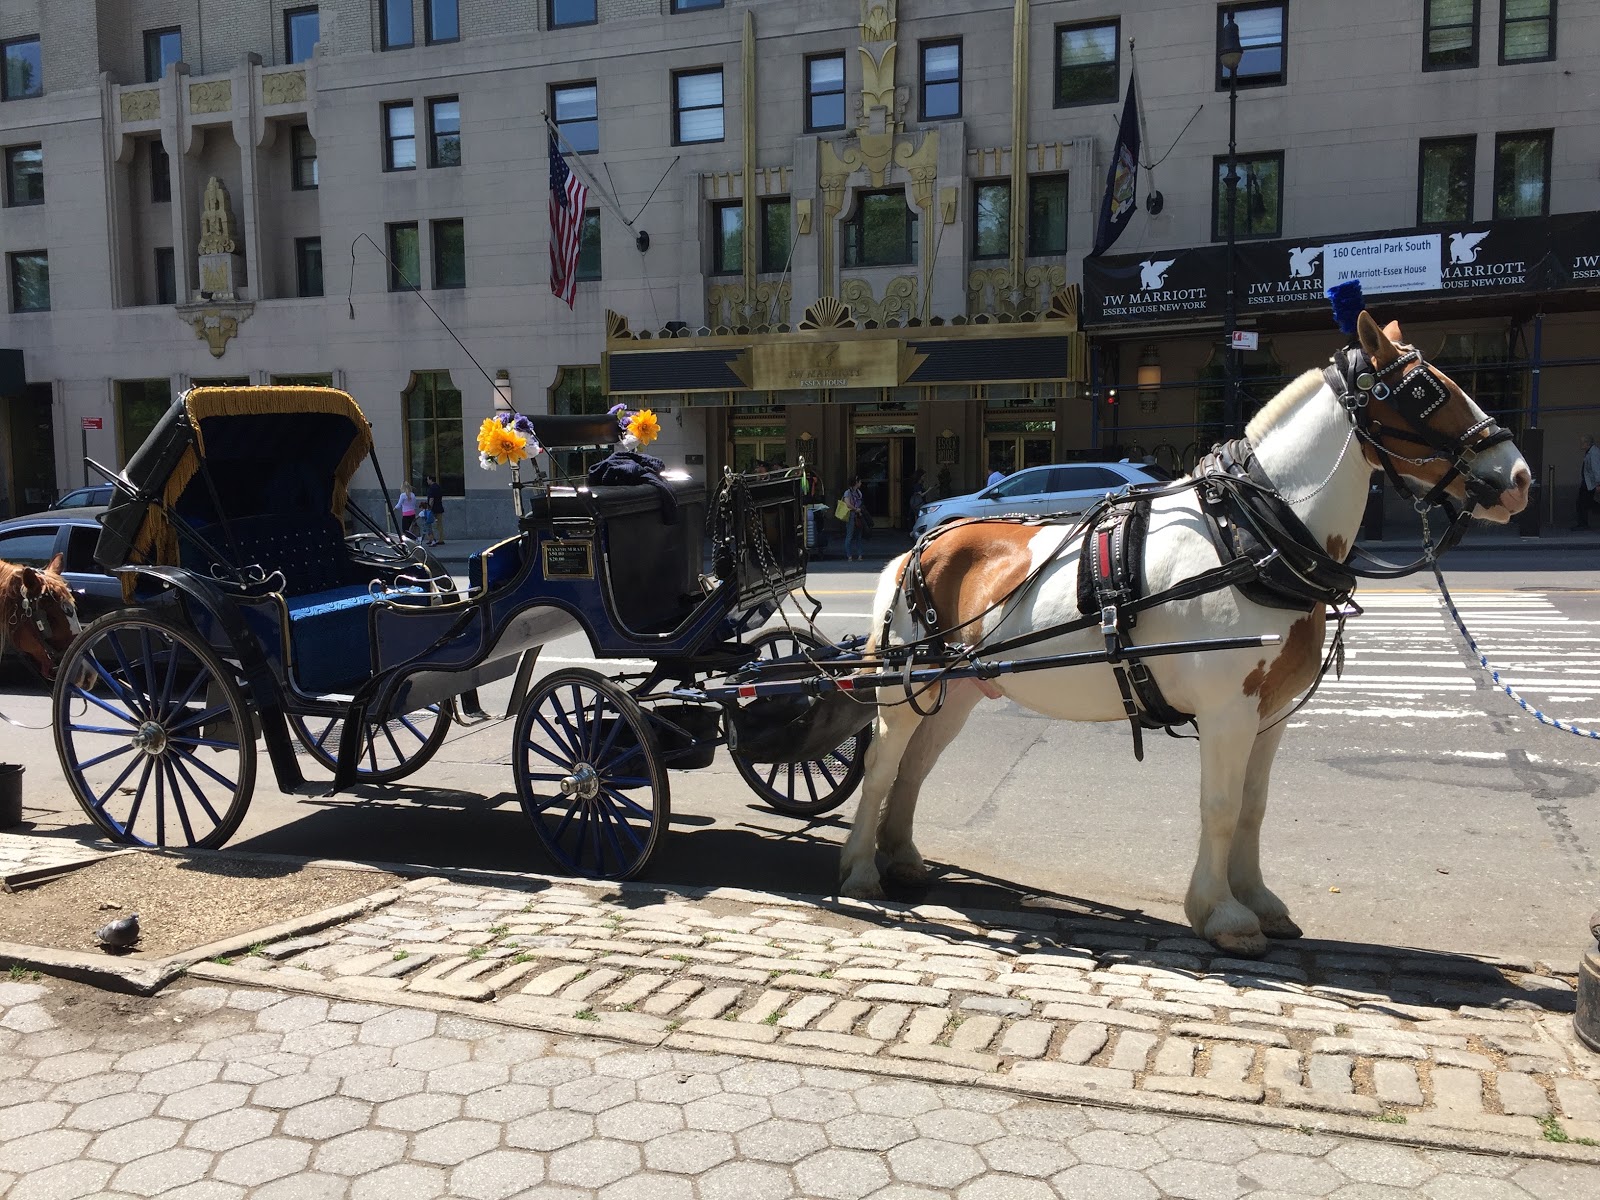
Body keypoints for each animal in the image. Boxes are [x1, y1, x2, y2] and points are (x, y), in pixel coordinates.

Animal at [844, 312, 1529, 960]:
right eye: (1424, 390)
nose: (1518, 477)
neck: (1252, 538)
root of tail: (918, 547)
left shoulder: (1271, 714)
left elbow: (1253, 807)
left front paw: (1259, 901)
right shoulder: (1228, 710)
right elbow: (1220, 808)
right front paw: (1222, 915)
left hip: (953, 692)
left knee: (914, 768)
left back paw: (901, 857)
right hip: (902, 688)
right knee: (882, 764)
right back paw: (859, 870)